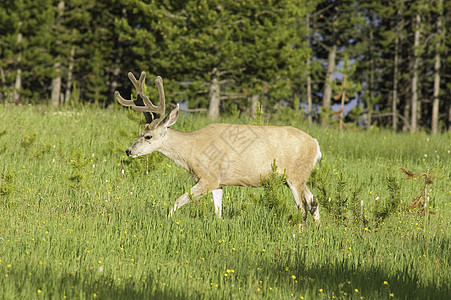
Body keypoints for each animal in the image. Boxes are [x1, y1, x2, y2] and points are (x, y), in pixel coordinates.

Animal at [115, 71, 324, 226]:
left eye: (148, 136)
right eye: (141, 131)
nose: (128, 151)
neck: (191, 151)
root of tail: (316, 144)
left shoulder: (209, 177)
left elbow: (178, 200)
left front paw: (167, 220)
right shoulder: (218, 183)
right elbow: (218, 211)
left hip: (295, 176)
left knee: (303, 207)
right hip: (298, 177)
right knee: (314, 201)